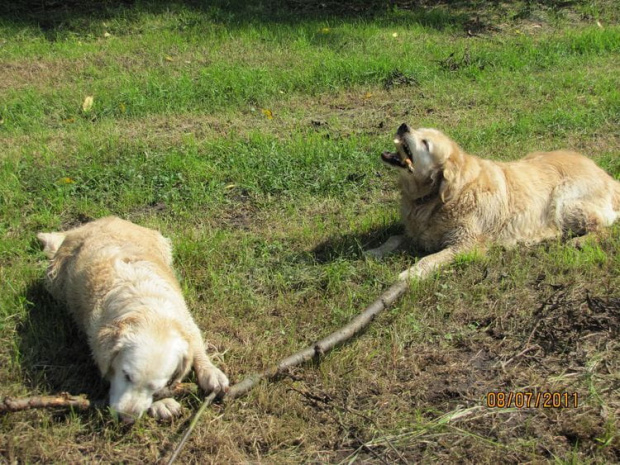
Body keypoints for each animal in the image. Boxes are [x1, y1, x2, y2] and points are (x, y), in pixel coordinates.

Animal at [37, 216, 229, 422]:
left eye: (156, 386)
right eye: (126, 376)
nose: (126, 418)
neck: (152, 312)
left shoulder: (185, 318)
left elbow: (196, 343)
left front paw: (211, 372)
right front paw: (162, 403)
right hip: (54, 280)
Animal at [368, 122, 620, 280]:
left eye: (425, 143)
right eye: (420, 130)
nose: (404, 125)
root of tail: (608, 177)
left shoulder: (466, 244)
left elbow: (429, 259)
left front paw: (411, 274)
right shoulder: (417, 230)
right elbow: (395, 237)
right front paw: (375, 250)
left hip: (565, 203)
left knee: (604, 227)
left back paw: (580, 241)